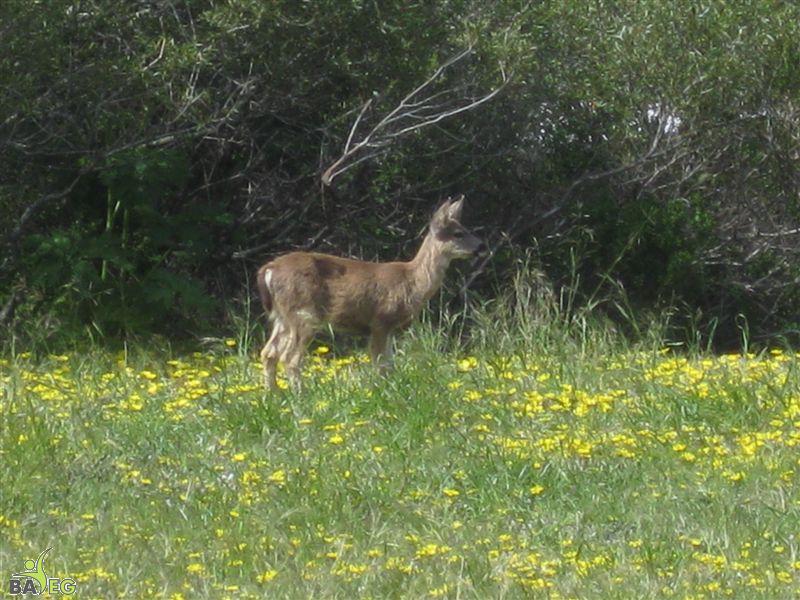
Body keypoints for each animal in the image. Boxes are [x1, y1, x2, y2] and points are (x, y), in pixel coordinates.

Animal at [255, 195, 484, 390]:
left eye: (464, 229)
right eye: (458, 233)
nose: (481, 246)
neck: (413, 282)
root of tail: (269, 270)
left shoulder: (388, 328)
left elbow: (389, 365)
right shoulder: (381, 320)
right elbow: (381, 365)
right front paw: (383, 393)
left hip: (282, 317)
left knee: (268, 353)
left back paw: (273, 395)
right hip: (304, 314)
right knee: (289, 358)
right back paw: (299, 397)